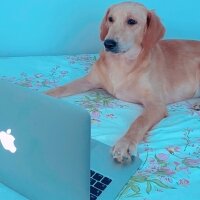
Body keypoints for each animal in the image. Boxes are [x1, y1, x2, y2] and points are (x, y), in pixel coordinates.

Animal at [45, 1, 200, 163]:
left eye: (131, 21)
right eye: (110, 19)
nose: (108, 43)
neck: (122, 62)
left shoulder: (156, 105)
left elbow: (139, 122)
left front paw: (125, 143)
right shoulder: (89, 80)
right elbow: (61, 88)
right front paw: (43, 96)